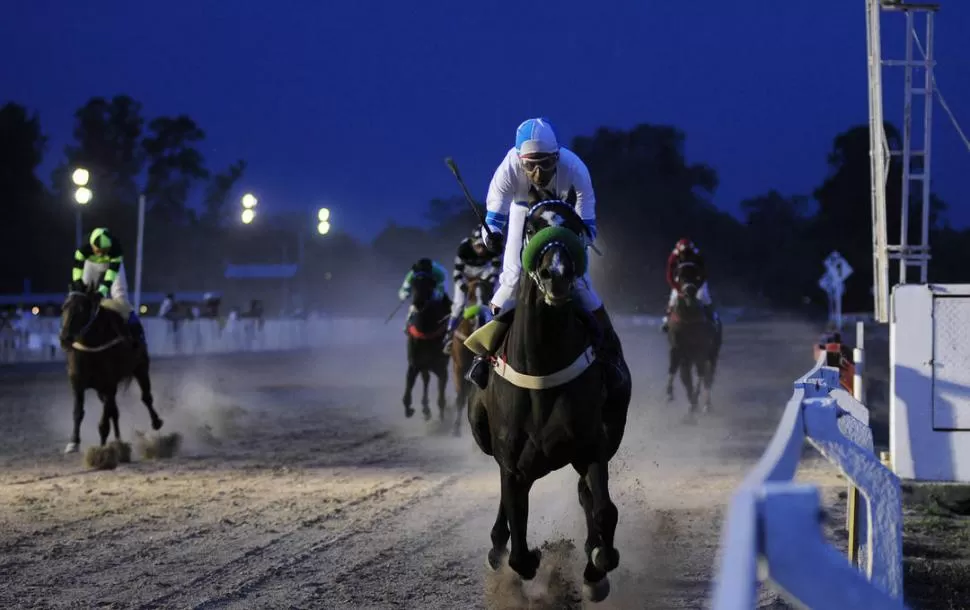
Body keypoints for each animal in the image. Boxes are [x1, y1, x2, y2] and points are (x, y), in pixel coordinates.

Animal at [58, 280, 163, 452]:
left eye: (81, 309)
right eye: (63, 308)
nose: (64, 339)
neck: (91, 349)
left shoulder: (108, 385)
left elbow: (103, 422)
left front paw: (102, 449)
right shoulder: (78, 384)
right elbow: (78, 412)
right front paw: (74, 442)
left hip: (141, 368)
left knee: (146, 397)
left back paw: (156, 422)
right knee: (115, 411)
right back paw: (118, 439)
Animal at [400, 270, 450, 418]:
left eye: (429, 284)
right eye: (413, 284)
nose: (418, 303)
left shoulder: (441, 368)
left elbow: (441, 397)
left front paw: (442, 415)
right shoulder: (414, 364)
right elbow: (407, 393)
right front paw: (409, 409)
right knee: (426, 379)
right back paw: (426, 408)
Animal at [446, 274, 492, 434]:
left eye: (488, 293)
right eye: (470, 295)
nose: (478, 316)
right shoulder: (459, 367)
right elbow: (460, 397)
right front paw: (455, 428)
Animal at [466, 186, 632, 604]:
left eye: (573, 226)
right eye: (531, 228)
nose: (556, 275)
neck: (543, 366)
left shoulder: (591, 447)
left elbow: (604, 511)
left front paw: (596, 570)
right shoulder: (513, 463)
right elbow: (519, 549)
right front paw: (526, 557)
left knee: (587, 496)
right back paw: (497, 545)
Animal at [664, 262, 720, 418]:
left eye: (696, 277)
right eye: (681, 276)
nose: (689, 290)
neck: (688, 320)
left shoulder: (701, 353)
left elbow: (700, 377)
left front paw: (694, 404)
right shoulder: (678, 351)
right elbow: (677, 372)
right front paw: (670, 394)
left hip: (712, 356)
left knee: (708, 378)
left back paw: (706, 405)